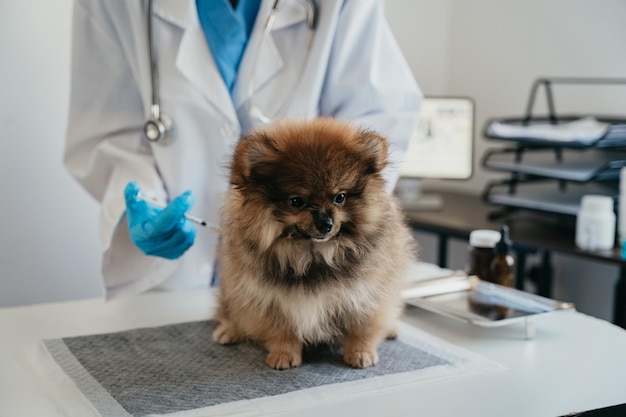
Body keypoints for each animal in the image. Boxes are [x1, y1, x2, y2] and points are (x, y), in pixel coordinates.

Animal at [212, 118, 416, 368]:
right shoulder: (272, 298)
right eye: (296, 201)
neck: (313, 253)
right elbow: (281, 331)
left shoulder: (366, 292)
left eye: (339, 197)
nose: (326, 224)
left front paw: (361, 352)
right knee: (229, 311)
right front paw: (283, 354)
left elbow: (363, 327)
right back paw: (229, 330)